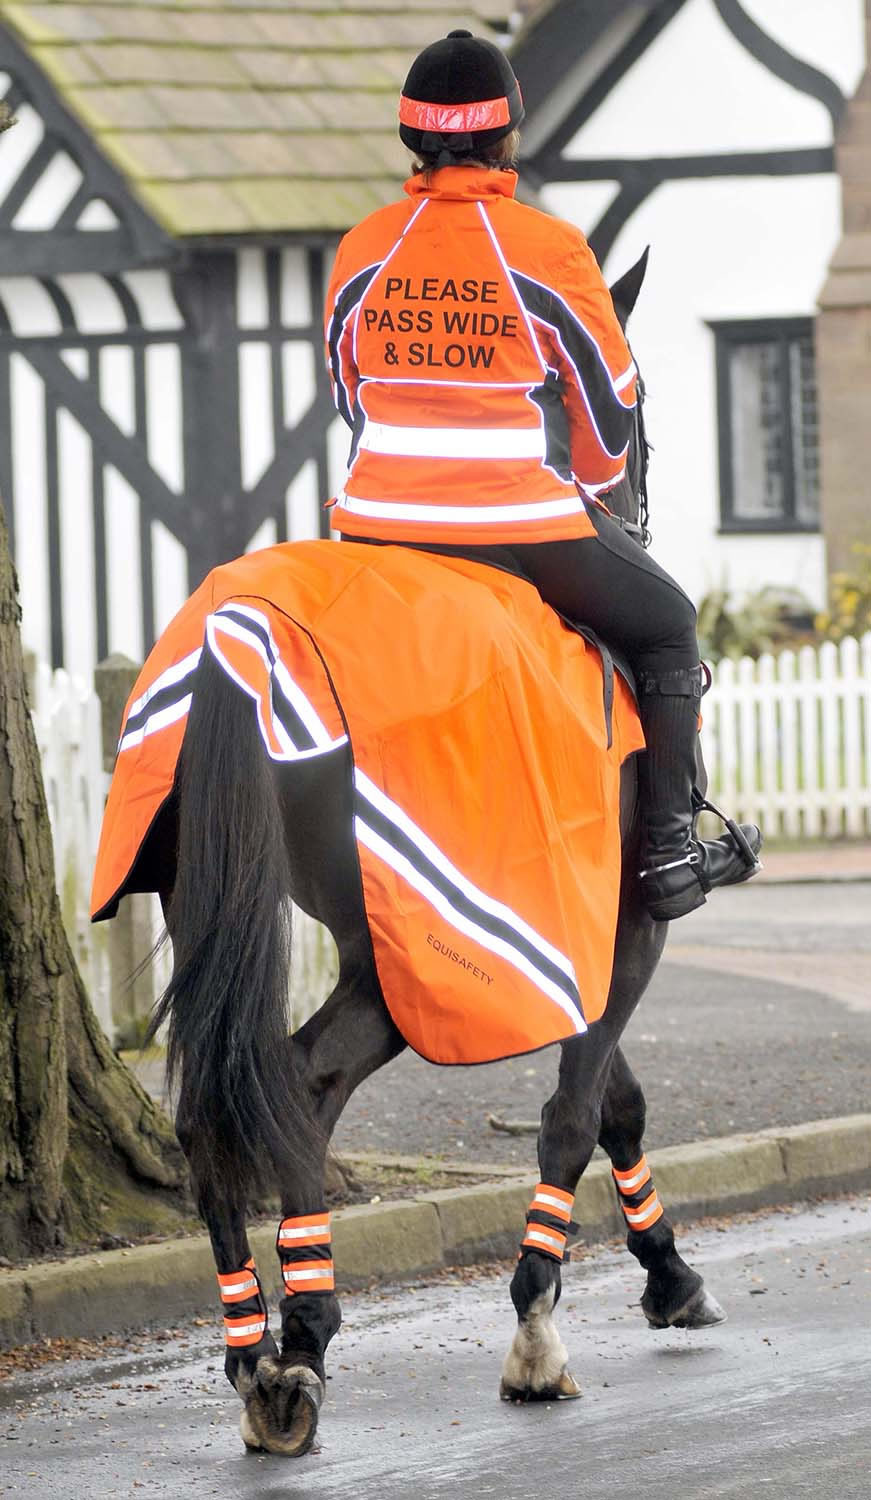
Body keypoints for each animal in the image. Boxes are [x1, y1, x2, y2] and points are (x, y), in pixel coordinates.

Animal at [98, 255, 722, 1452]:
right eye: (636, 401)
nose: (632, 508)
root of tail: (241, 635)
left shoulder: (564, 940)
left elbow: (612, 1100)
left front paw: (667, 1273)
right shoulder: (623, 927)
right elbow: (576, 1112)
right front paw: (537, 1328)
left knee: (240, 1103)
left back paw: (266, 1351)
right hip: (392, 957)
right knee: (298, 1084)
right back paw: (302, 1334)